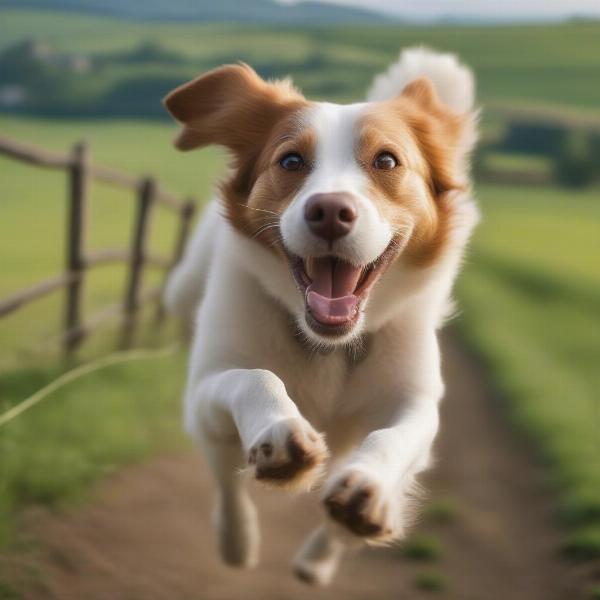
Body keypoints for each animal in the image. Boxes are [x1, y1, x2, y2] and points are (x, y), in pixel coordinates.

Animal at [163, 47, 478, 584]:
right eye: (290, 160)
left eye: (387, 160)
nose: (330, 210)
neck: (329, 345)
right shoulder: (206, 385)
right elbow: (255, 378)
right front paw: (279, 434)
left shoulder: (414, 400)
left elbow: (392, 437)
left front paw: (367, 493)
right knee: (225, 472)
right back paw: (237, 541)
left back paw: (322, 552)